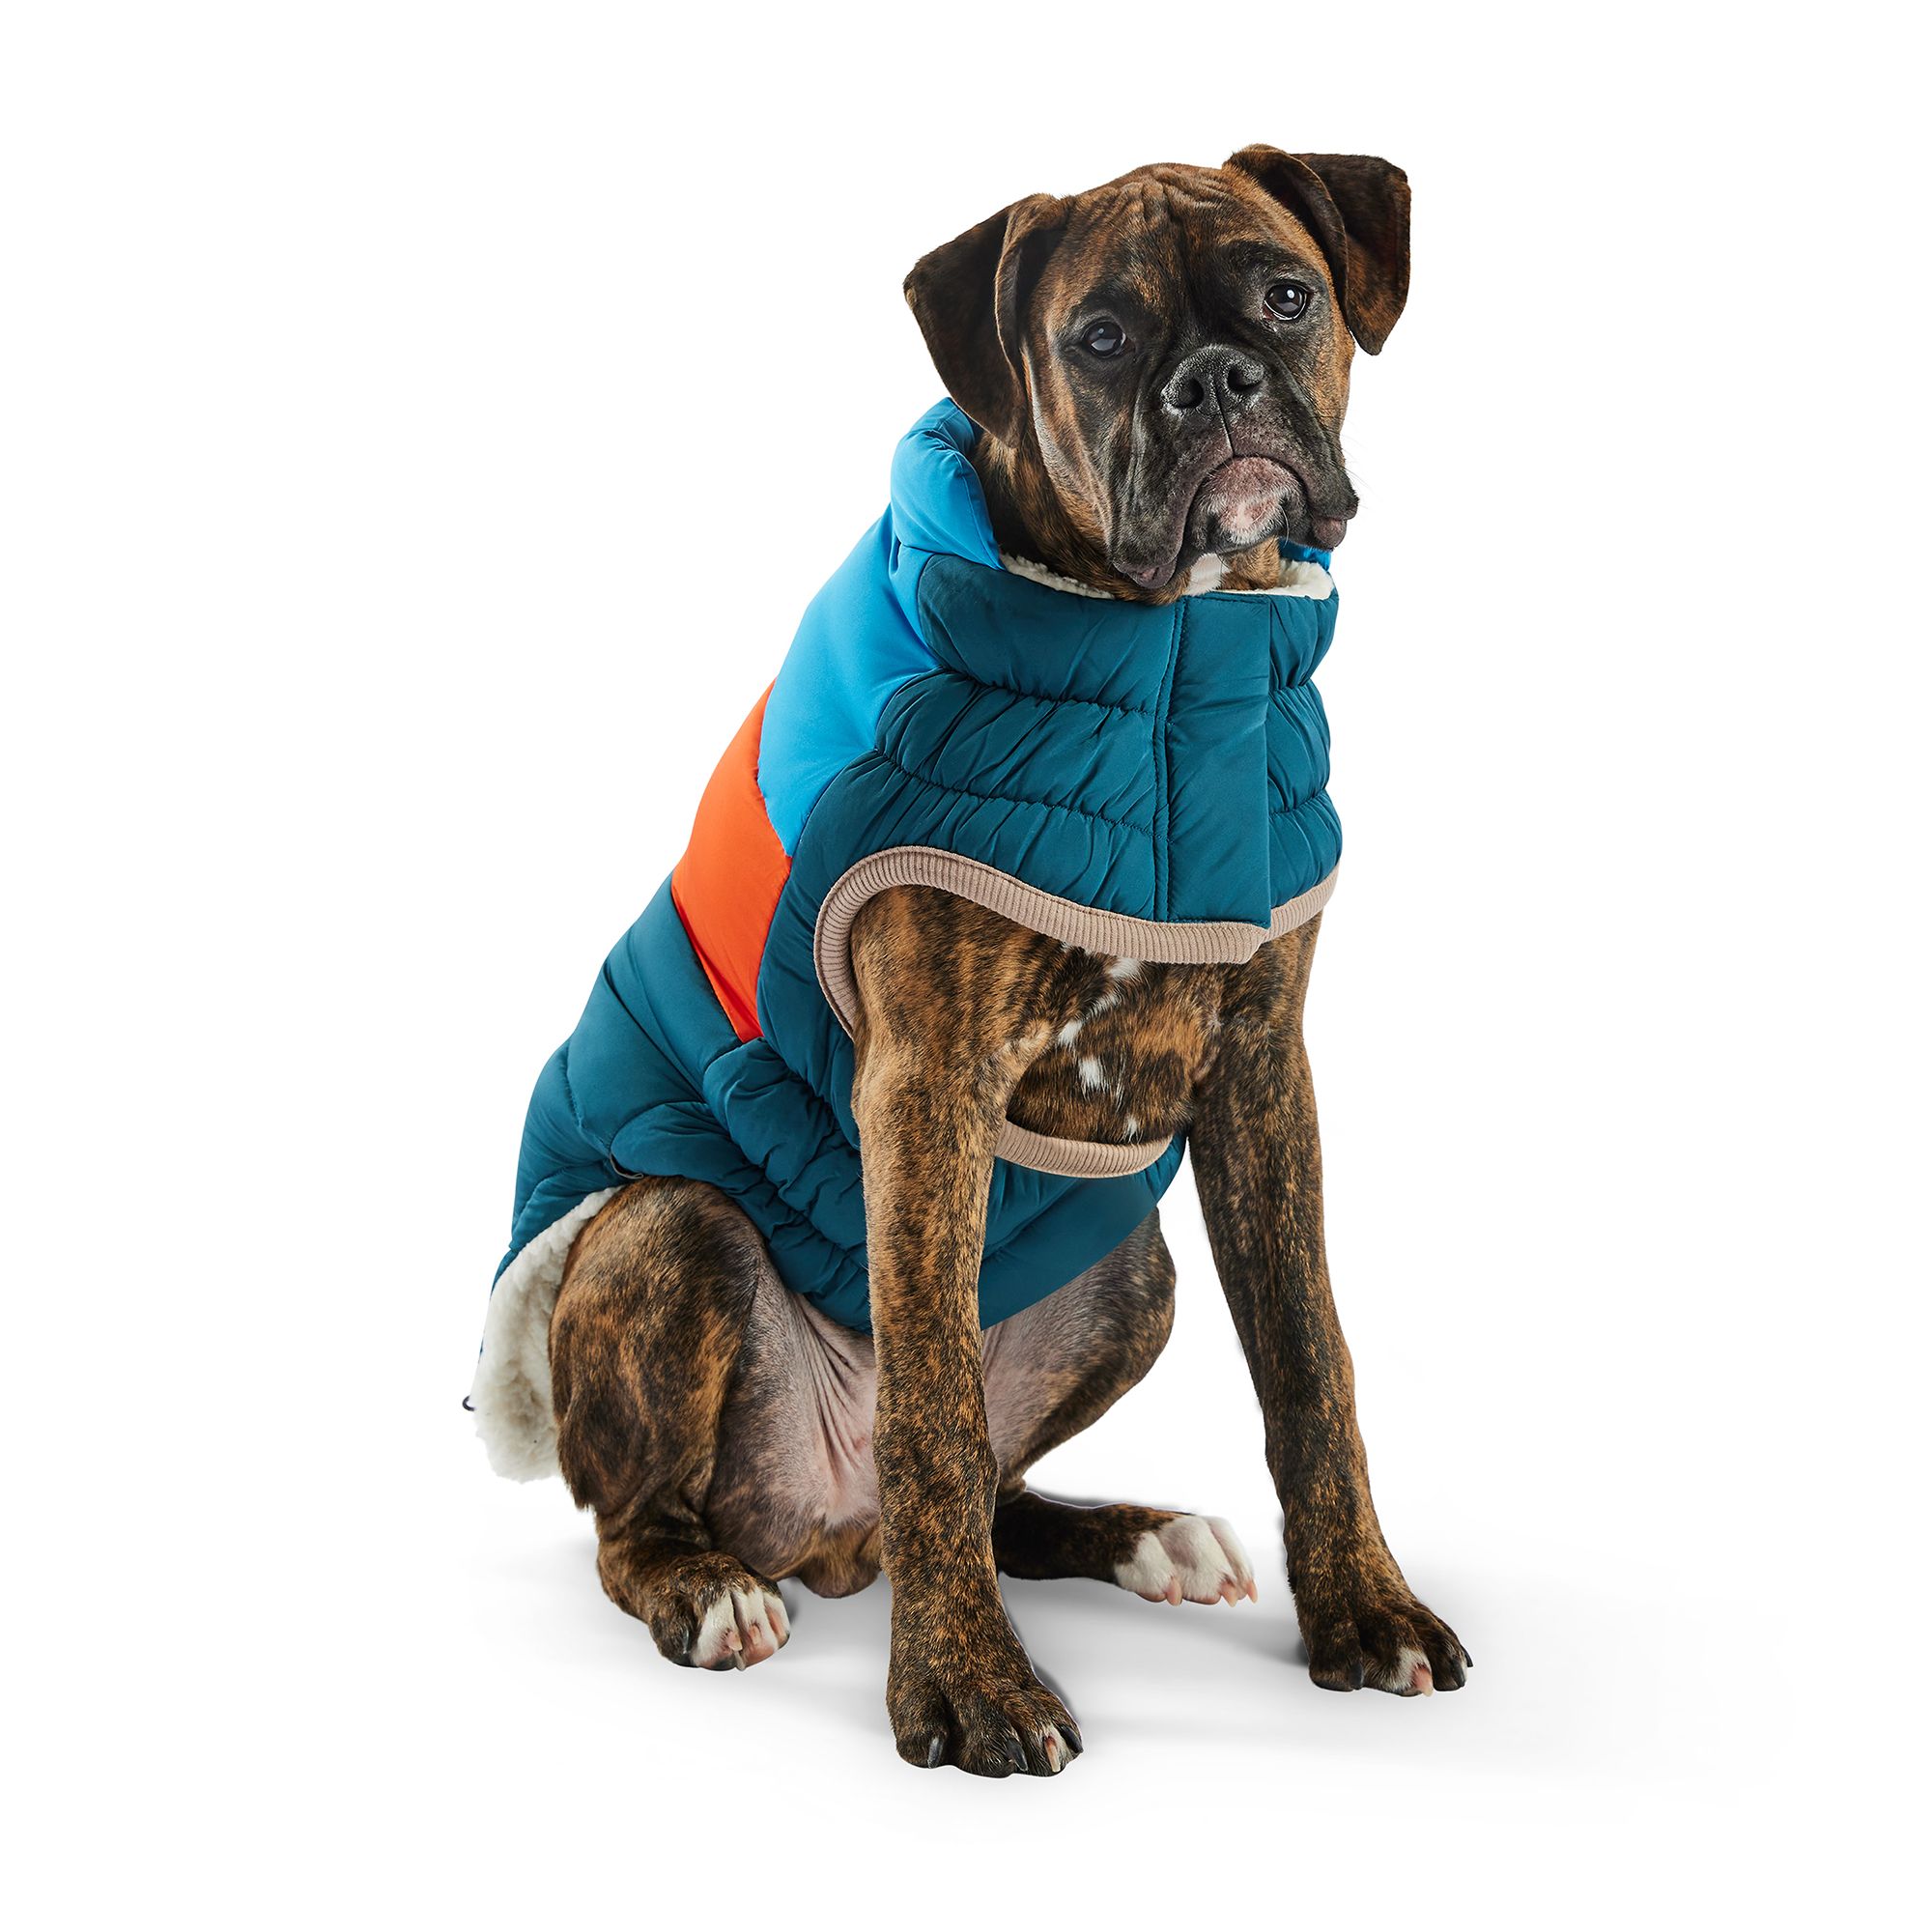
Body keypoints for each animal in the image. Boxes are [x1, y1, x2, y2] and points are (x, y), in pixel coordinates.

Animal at [471, 146, 1467, 1778]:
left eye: (1286, 294)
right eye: (1102, 339)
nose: (1216, 380)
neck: (1173, 668)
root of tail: (828, 1538)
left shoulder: (1264, 1072)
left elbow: (1312, 1363)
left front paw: (1364, 1609)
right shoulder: (926, 1083)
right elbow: (929, 1401)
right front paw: (963, 1687)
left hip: (1133, 1268)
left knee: (1001, 1489)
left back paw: (1135, 1534)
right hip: (665, 1231)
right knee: (656, 1515)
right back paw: (709, 1589)